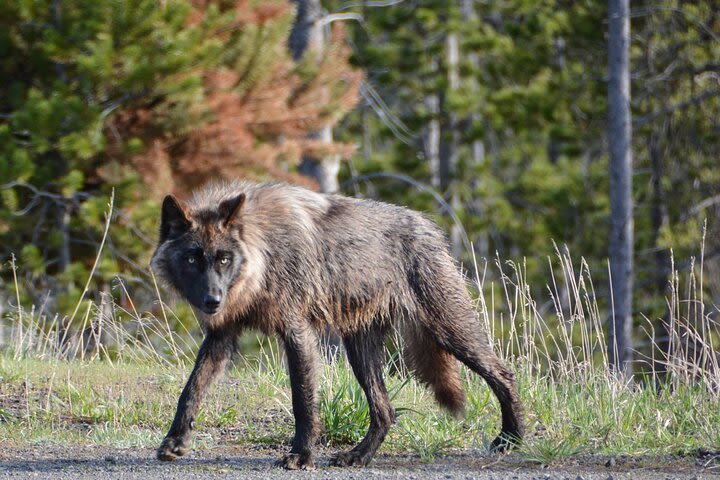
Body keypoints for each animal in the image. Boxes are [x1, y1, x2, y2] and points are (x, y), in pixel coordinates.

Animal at [152, 180, 524, 468]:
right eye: (192, 258)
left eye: (223, 259)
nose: (213, 301)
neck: (262, 254)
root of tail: (429, 226)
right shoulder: (221, 335)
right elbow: (191, 390)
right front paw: (174, 442)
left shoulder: (297, 333)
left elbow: (303, 402)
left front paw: (301, 456)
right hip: (360, 350)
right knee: (386, 411)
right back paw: (357, 457)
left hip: (447, 330)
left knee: (503, 373)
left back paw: (511, 438)